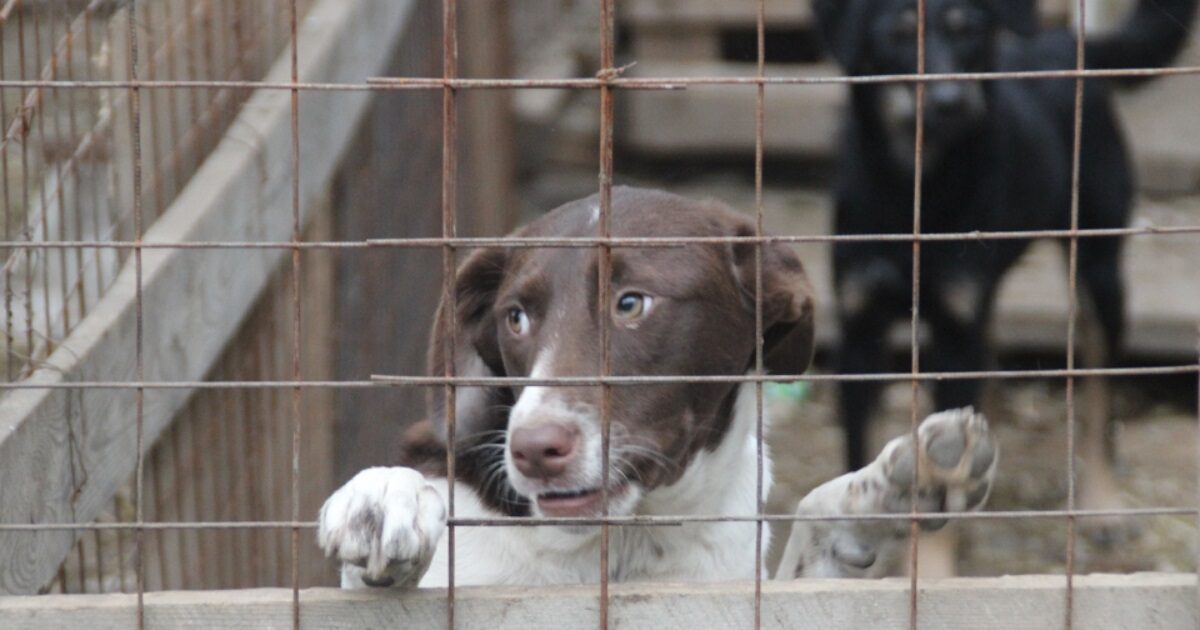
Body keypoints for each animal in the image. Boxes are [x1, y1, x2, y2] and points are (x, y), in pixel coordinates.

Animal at [316, 187, 993, 585]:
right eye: (515, 318)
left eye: (631, 303)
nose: (533, 449)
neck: (624, 537)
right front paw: (385, 496)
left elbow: (814, 516)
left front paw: (897, 485)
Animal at [820, 0, 1195, 525]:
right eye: (897, 35)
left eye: (969, 32)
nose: (951, 101)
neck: (914, 190)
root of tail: (1063, 40)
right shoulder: (859, 335)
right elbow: (859, 453)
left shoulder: (954, 338)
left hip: (1100, 272)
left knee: (1100, 393)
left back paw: (1101, 503)